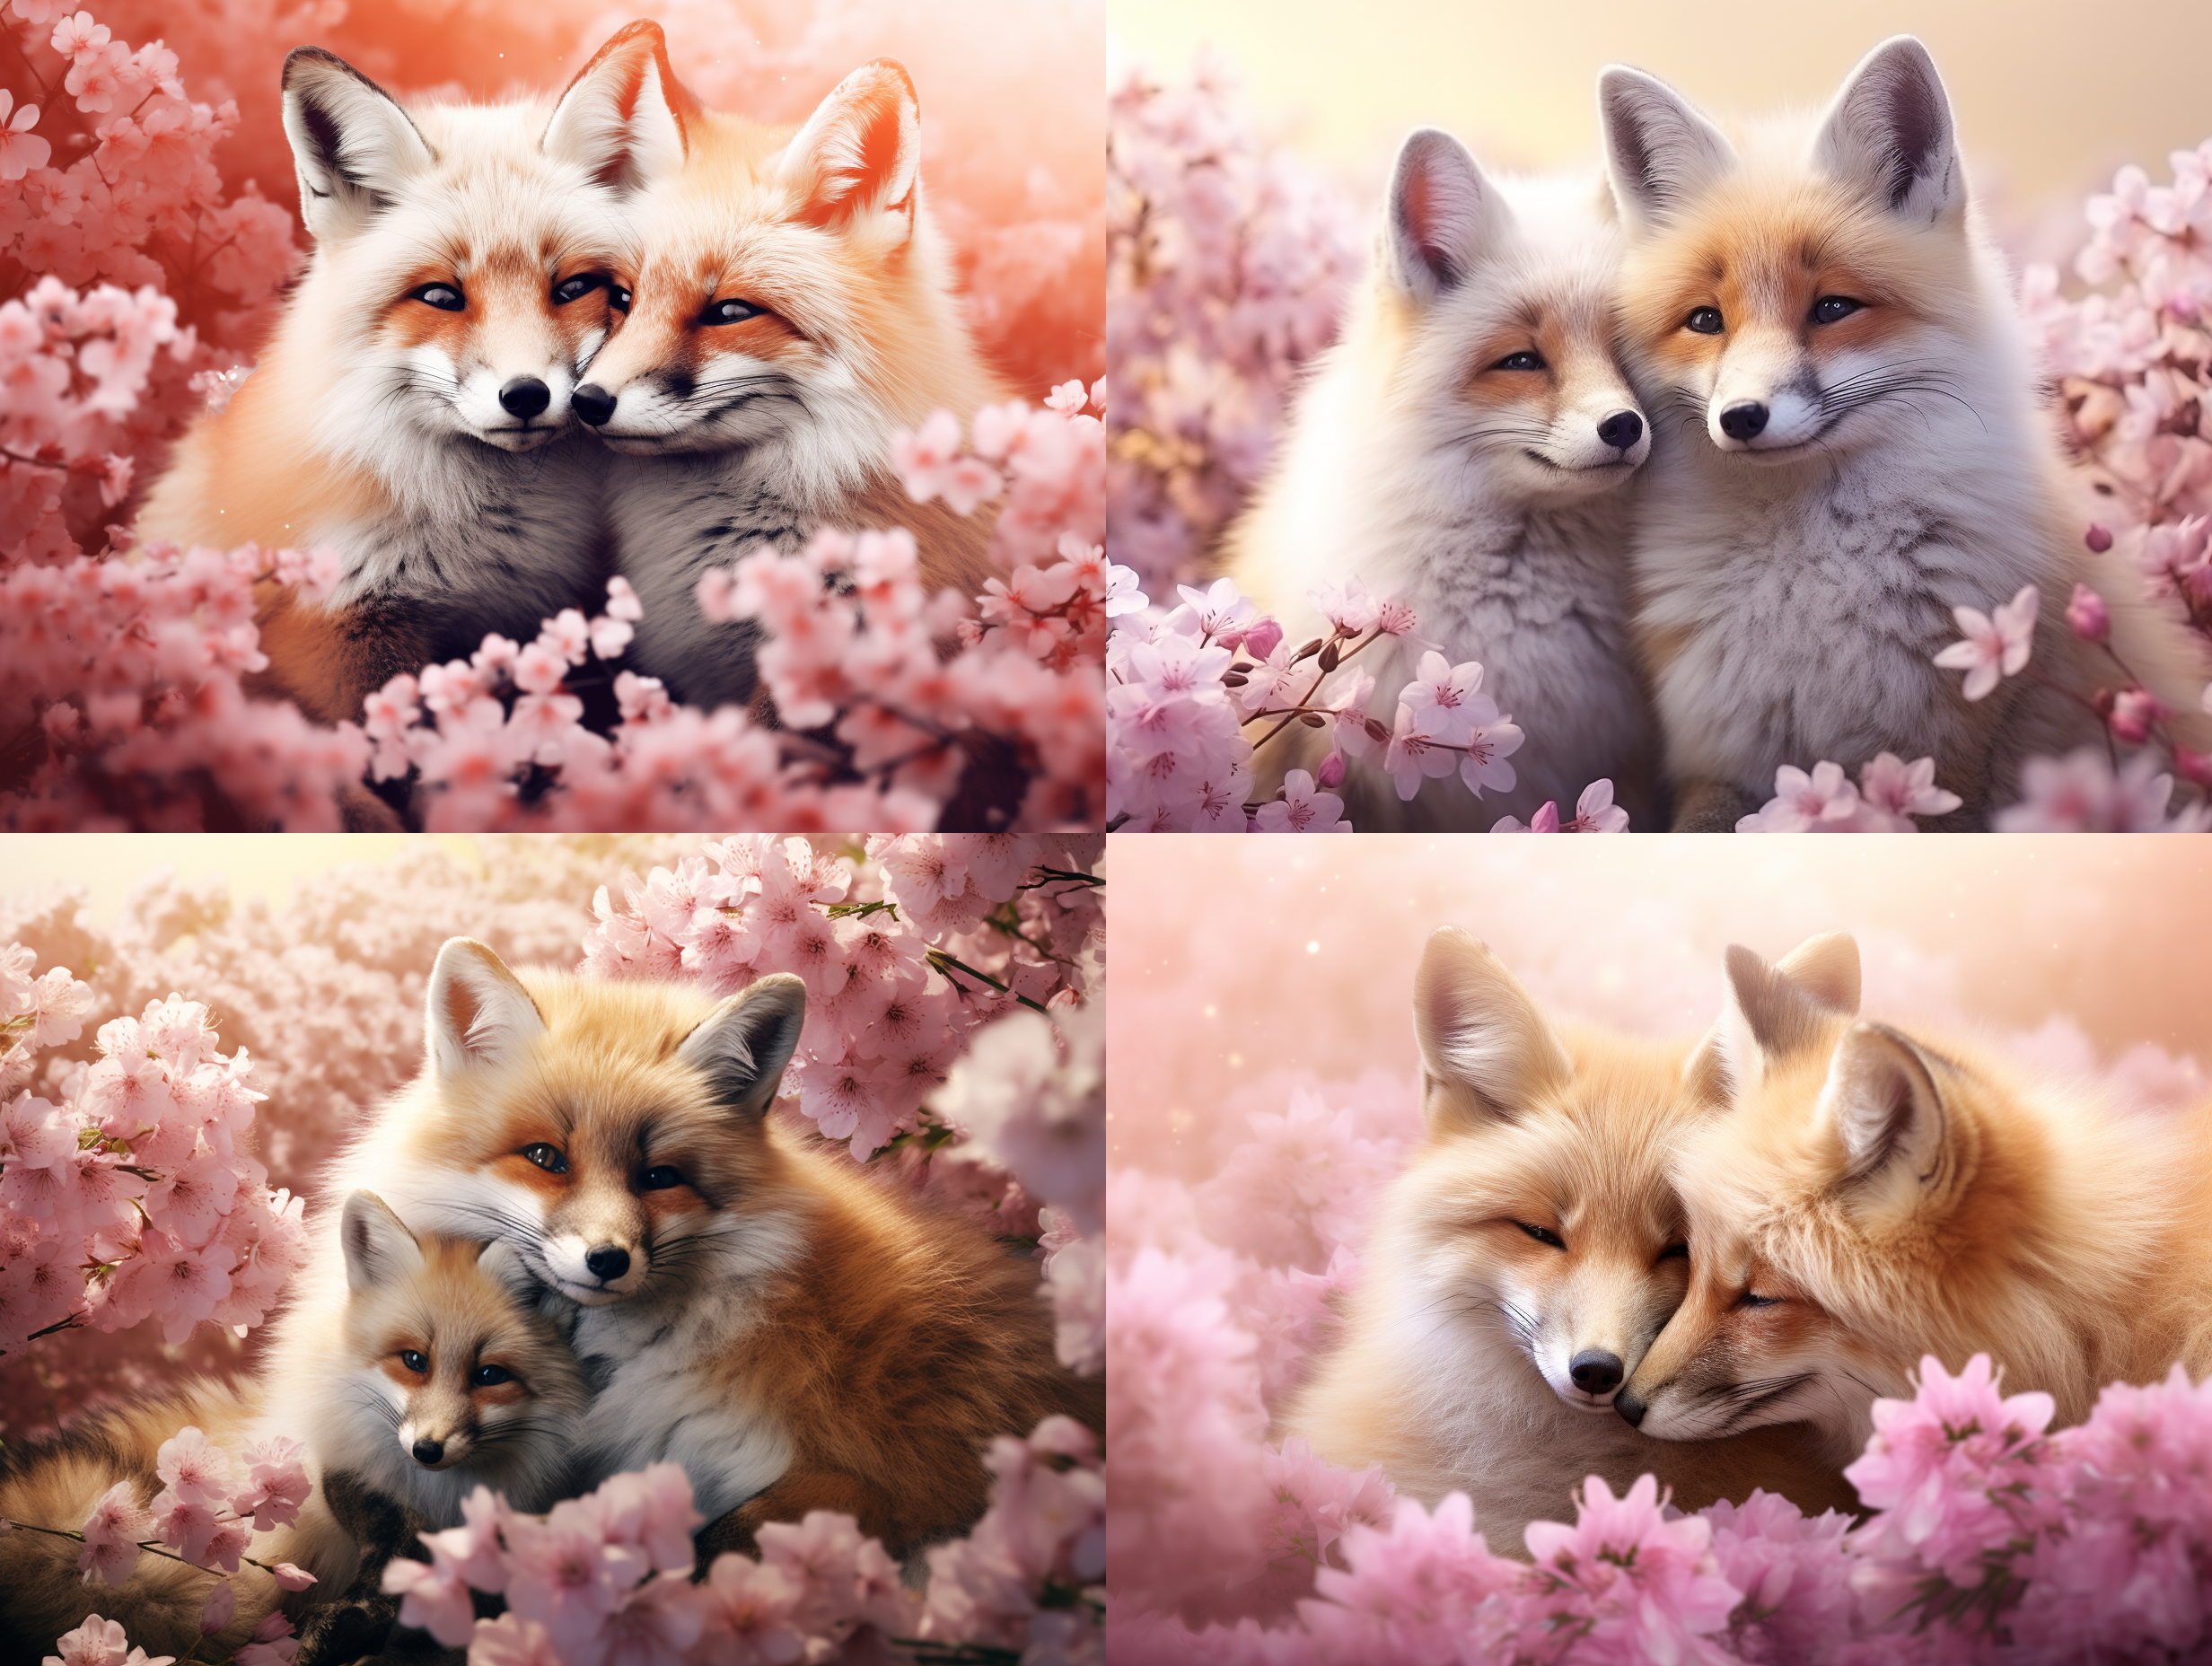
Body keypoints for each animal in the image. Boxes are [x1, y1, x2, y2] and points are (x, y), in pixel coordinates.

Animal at [1597, 37, 2212, 830]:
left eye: (1833, 307)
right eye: (1705, 319)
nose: (1741, 418)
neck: (1807, 592)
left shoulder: (1943, 762)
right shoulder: (1720, 759)